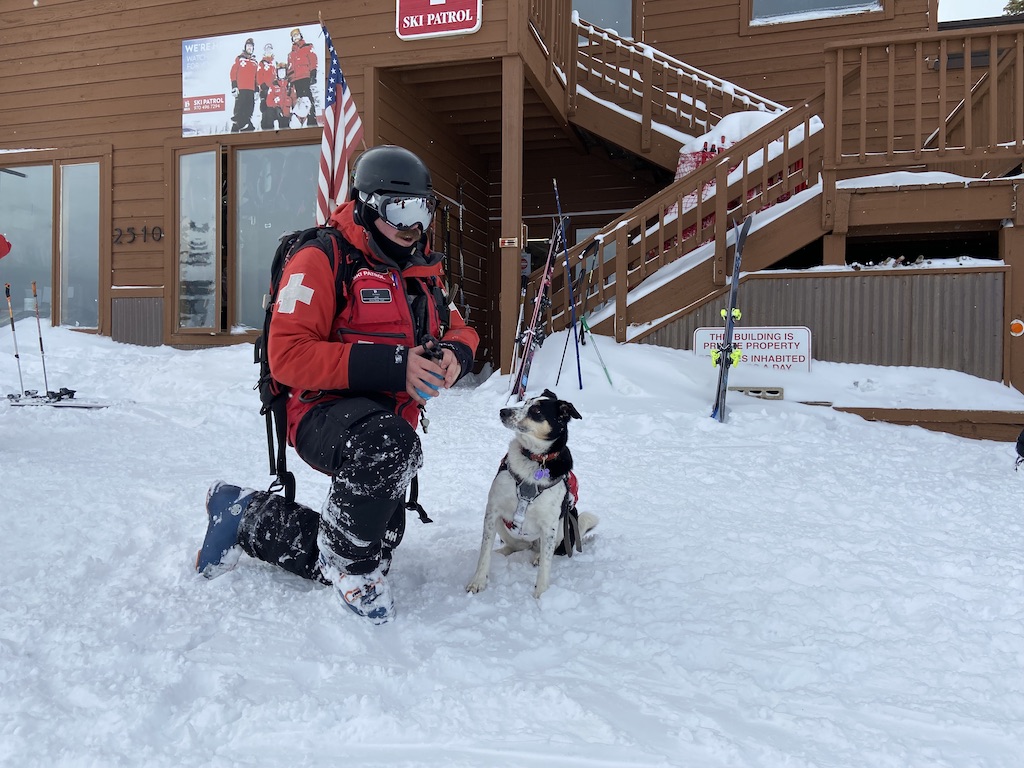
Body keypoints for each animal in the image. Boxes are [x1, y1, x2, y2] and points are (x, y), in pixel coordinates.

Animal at [466, 387, 598, 598]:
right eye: (525, 402)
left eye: (536, 411)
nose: (503, 411)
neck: (534, 459)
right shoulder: (492, 510)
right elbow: (484, 552)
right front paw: (478, 581)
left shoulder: (549, 525)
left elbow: (546, 563)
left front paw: (542, 594)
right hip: (503, 525)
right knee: (517, 546)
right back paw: (502, 553)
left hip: (565, 523)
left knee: (546, 550)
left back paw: (536, 557)